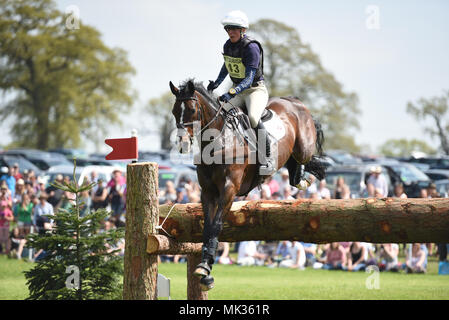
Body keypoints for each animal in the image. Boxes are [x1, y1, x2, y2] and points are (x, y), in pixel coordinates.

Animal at [168, 79, 322, 290]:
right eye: (175, 111)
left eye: (192, 110)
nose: (182, 143)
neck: (220, 140)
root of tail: (294, 101)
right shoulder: (208, 192)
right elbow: (207, 226)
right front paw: (205, 270)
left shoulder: (229, 189)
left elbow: (216, 225)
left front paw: (206, 267)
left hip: (303, 147)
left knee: (305, 157)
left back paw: (309, 175)